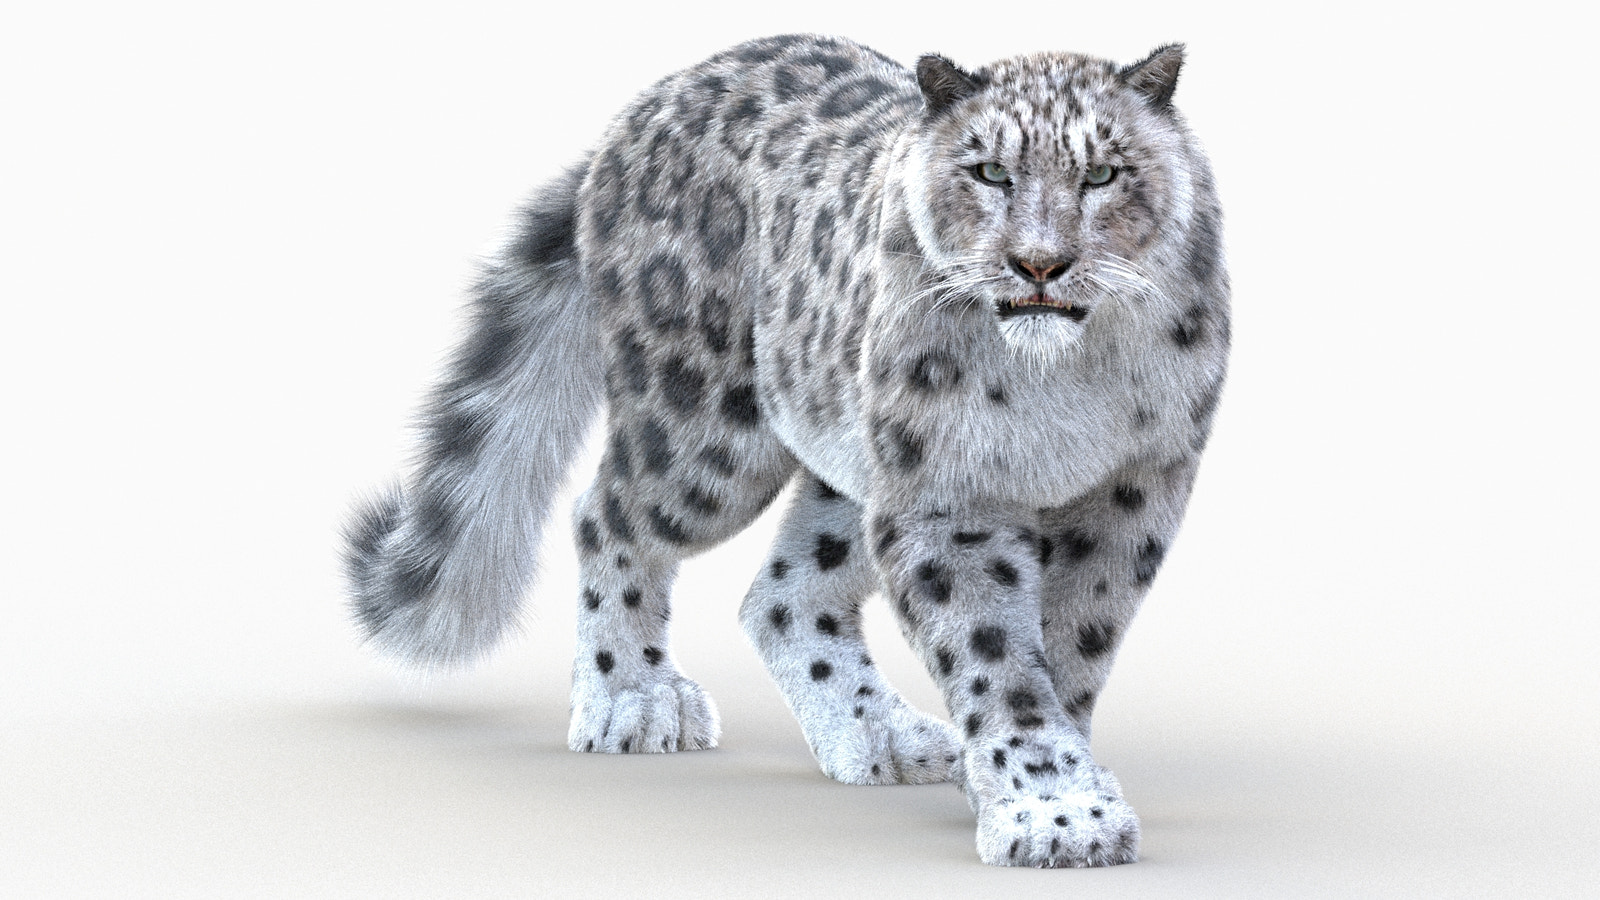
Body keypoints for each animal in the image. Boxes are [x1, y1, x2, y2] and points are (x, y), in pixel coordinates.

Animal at [343, 34, 1229, 868]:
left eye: (1104, 173)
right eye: (989, 173)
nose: (1040, 264)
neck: (1068, 376)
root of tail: (640, 111)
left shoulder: (1134, 488)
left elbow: (1077, 639)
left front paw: (1044, 788)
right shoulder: (950, 491)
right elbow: (994, 653)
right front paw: (1051, 809)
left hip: (856, 455)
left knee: (785, 591)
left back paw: (881, 737)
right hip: (707, 435)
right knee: (608, 512)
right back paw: (634, 698)